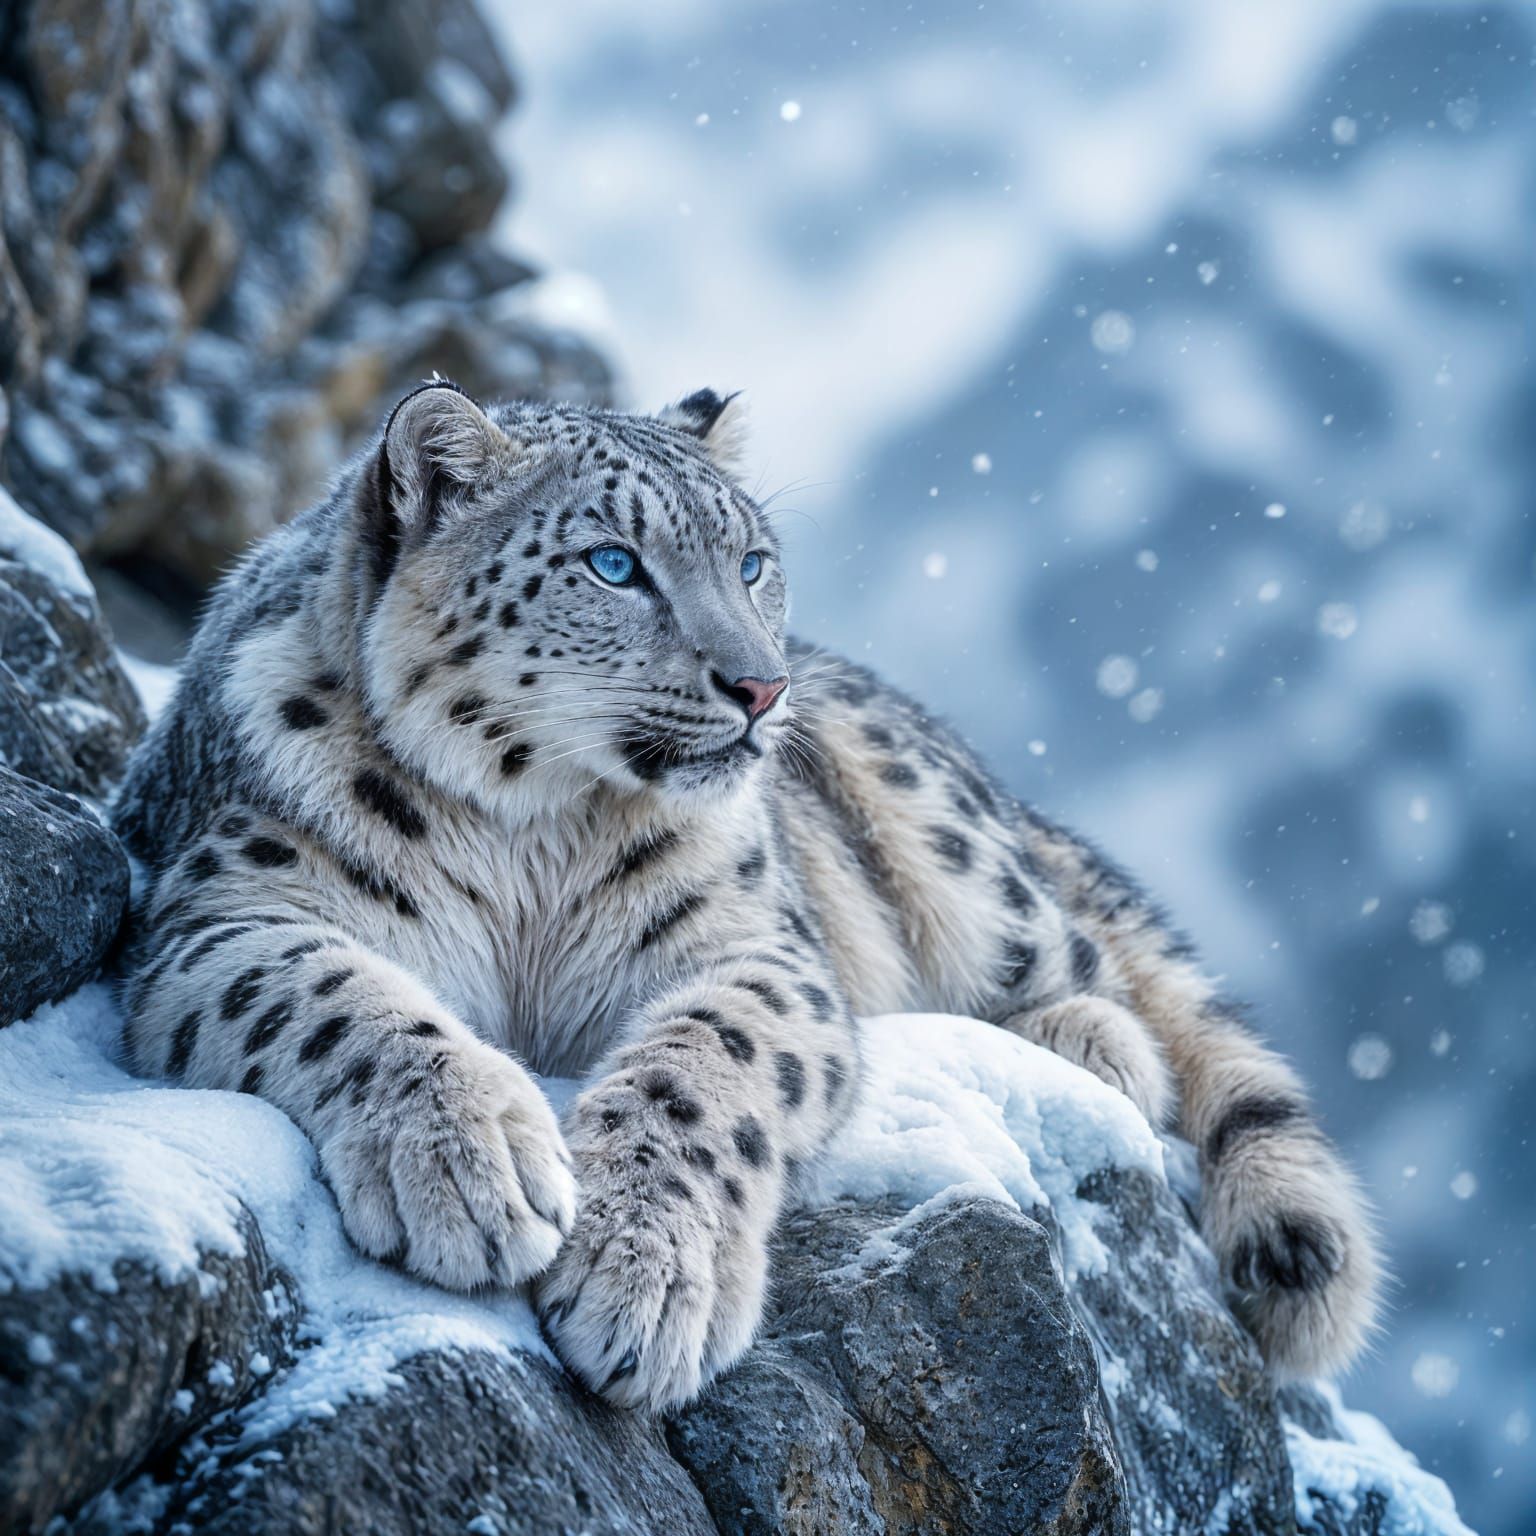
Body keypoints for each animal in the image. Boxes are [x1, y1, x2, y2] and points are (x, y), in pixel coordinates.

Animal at [111, 381, 1382, 1412]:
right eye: (612, 564)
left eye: (753, 561)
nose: (761, 686)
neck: (536, 846)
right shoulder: (223, 915)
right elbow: (346, 1001)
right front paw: (476, 1170)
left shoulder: (753, 946)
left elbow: (702, 1064)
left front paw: (647, 1283)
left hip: (952, 844)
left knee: (1089, 967)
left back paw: (1087, 1045)